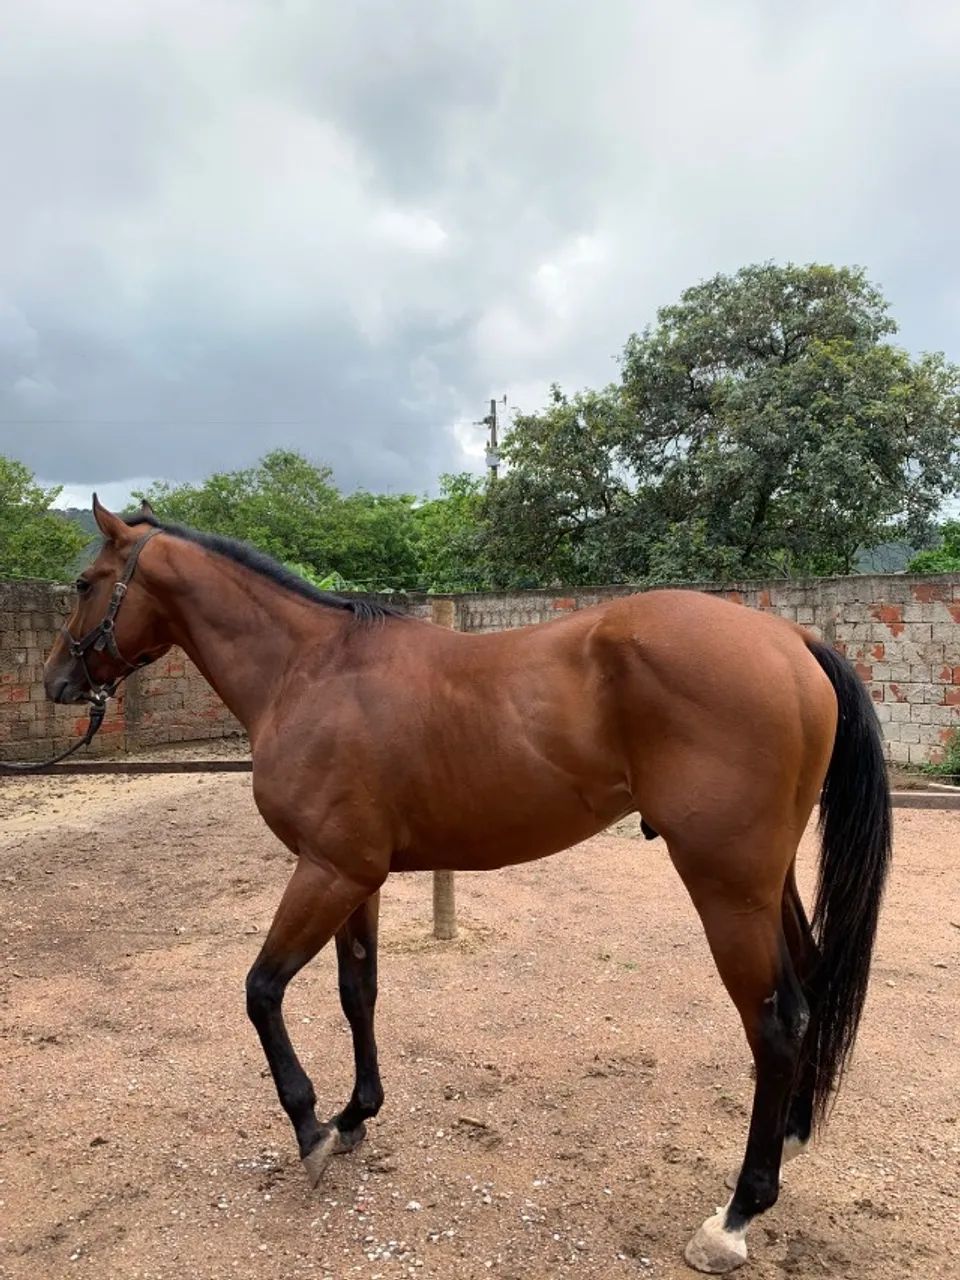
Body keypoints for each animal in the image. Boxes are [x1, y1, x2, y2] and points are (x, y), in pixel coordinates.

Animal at [40, 497, 891, 1274]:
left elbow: (262, 990)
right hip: (766, 884)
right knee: (809, 993)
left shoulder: (326, 871)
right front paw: (356, 1116)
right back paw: (792, 1136)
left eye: (84, 583)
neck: (310, 670)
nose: (55, 682)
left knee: (775, 1022)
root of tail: (792, 639)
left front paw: (312, 1128)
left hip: (726, 887)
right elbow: (358, 992)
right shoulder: (357, 877)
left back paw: (737, 1214)